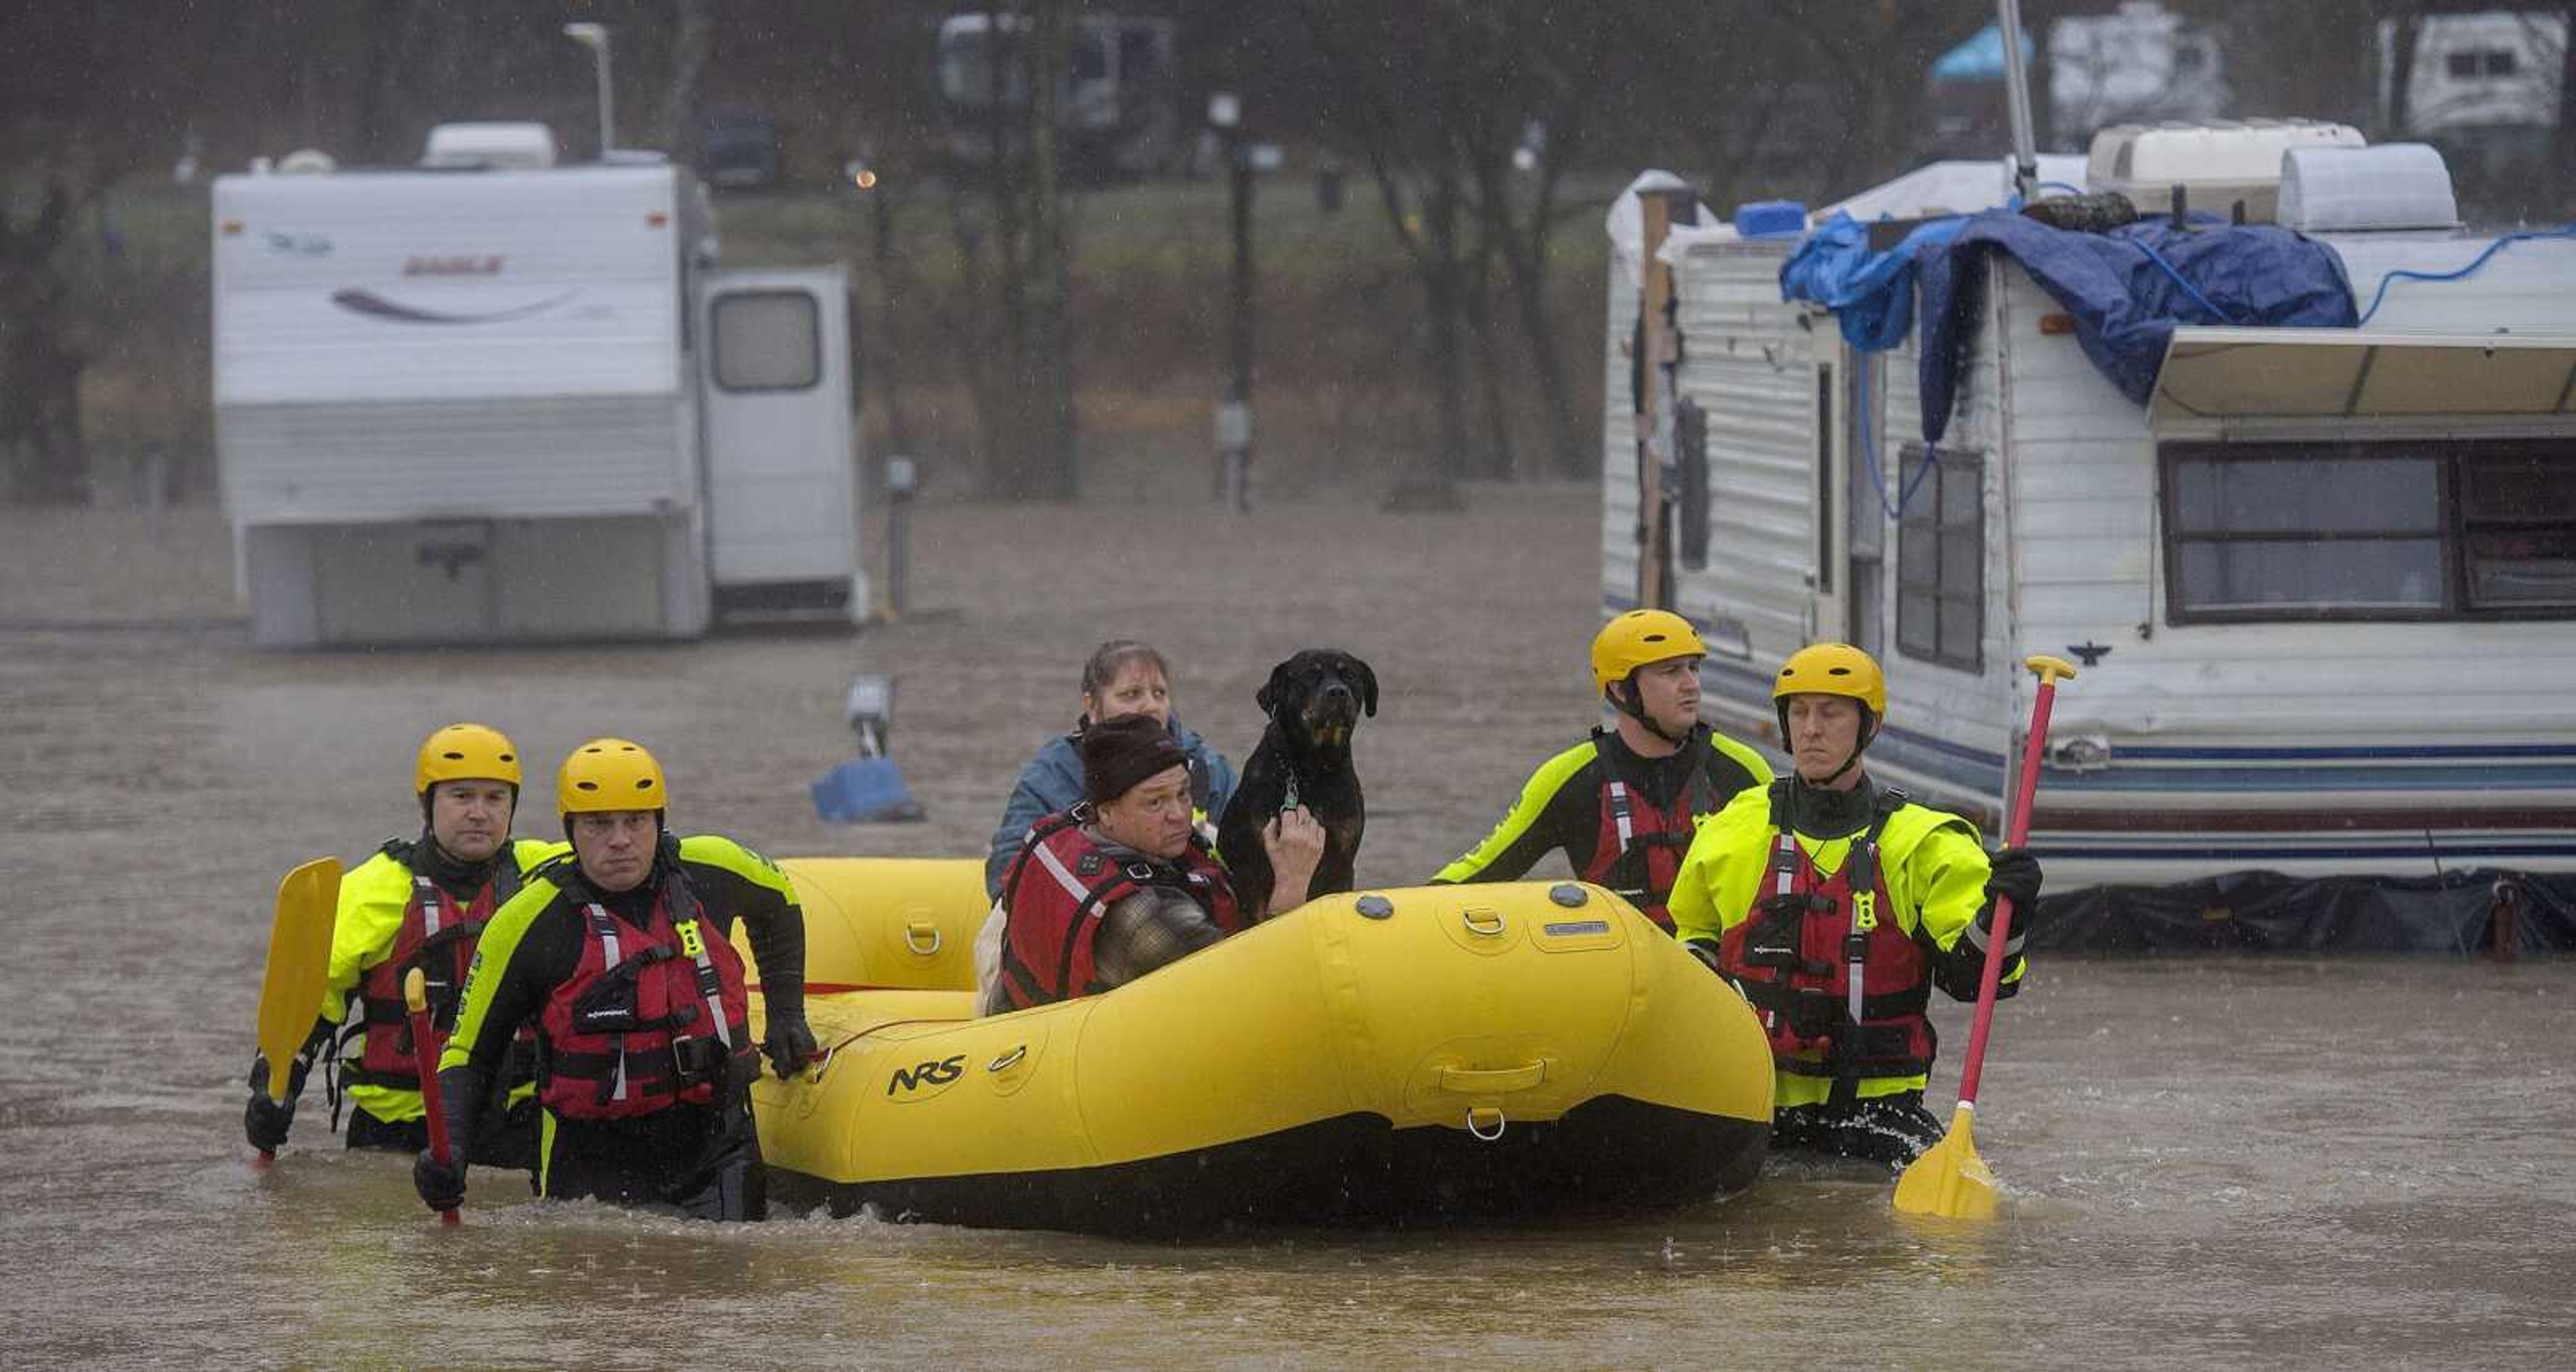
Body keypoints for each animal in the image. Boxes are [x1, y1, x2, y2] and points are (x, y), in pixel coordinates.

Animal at [1216, 648, 1381, 921]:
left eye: (1350, 675)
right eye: (1310, 675)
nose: (1338, 692)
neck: (1312, 769)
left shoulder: (1341, 863)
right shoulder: (1251, 869)